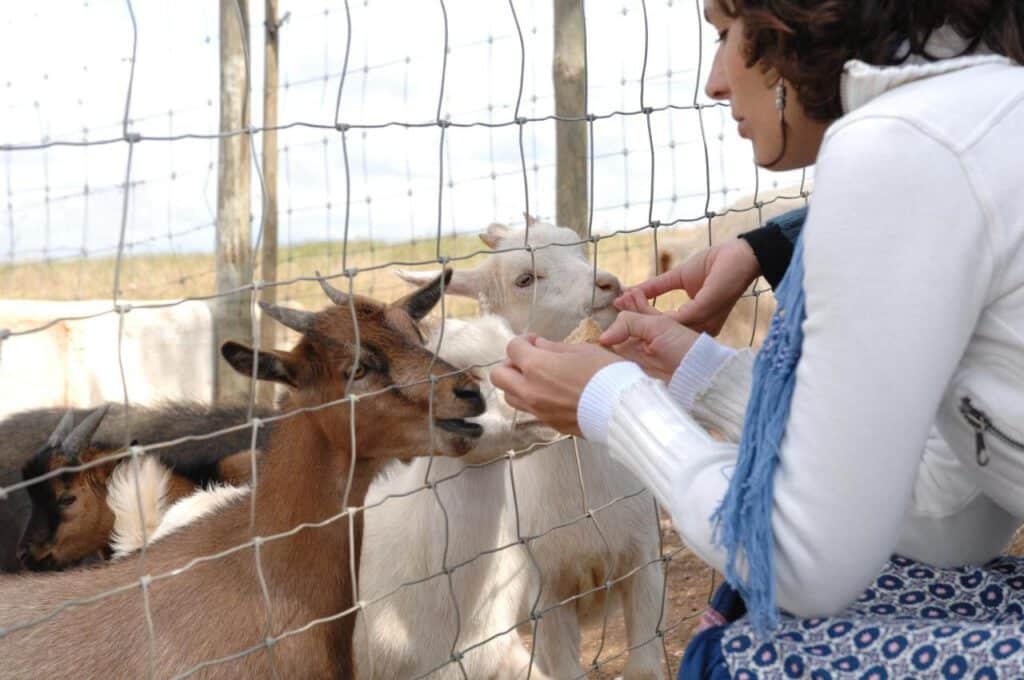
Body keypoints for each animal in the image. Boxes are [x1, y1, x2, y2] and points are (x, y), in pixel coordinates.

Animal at [356, 220, 667, 675]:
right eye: (524, 279)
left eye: (580, 248)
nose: (608, 284)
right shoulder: (548, 595)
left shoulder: (645, 557)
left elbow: (645, 667)